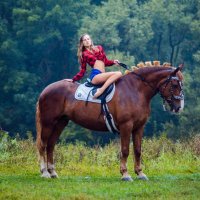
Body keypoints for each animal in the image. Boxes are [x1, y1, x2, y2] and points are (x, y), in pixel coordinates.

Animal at [36, 64, 184, 181]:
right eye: (175, 85)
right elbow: (125, 150)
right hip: (48, 123)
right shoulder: (126, 126)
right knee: (43, 145)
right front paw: (125, 174)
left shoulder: (139, 127)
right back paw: (45, 173)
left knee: (51, 145)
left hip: (60, 123)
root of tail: (45, 90)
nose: (179, 107)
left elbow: (137, 150)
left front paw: (140, 173)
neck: (135, 90)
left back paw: (53, 172)